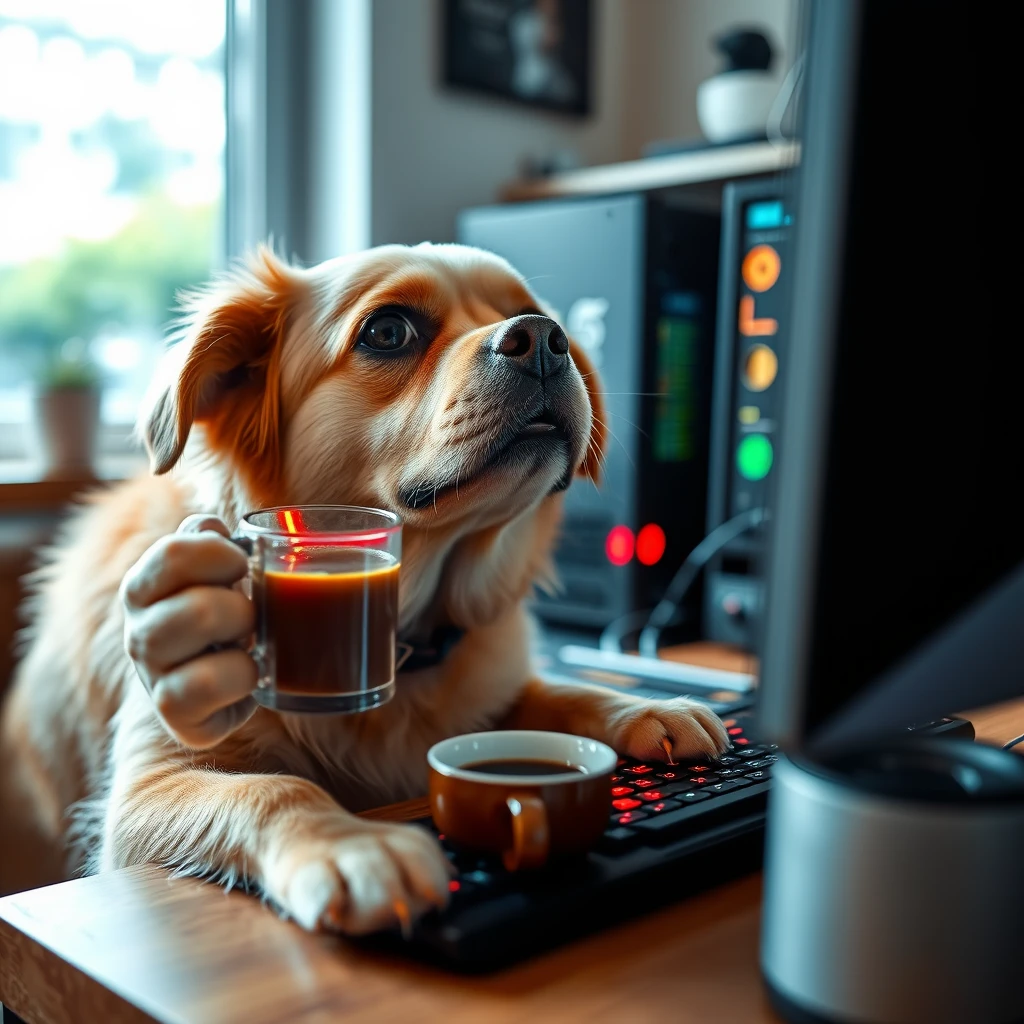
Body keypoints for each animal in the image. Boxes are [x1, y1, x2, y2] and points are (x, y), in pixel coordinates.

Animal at [0, 243, 729, 933]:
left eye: (532, 314)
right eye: (387, 331)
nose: (546, 339)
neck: (407, 640)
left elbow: (555, 694)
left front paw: (642, 707)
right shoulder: (148, 786)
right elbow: (274, 788)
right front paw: (352, 845)